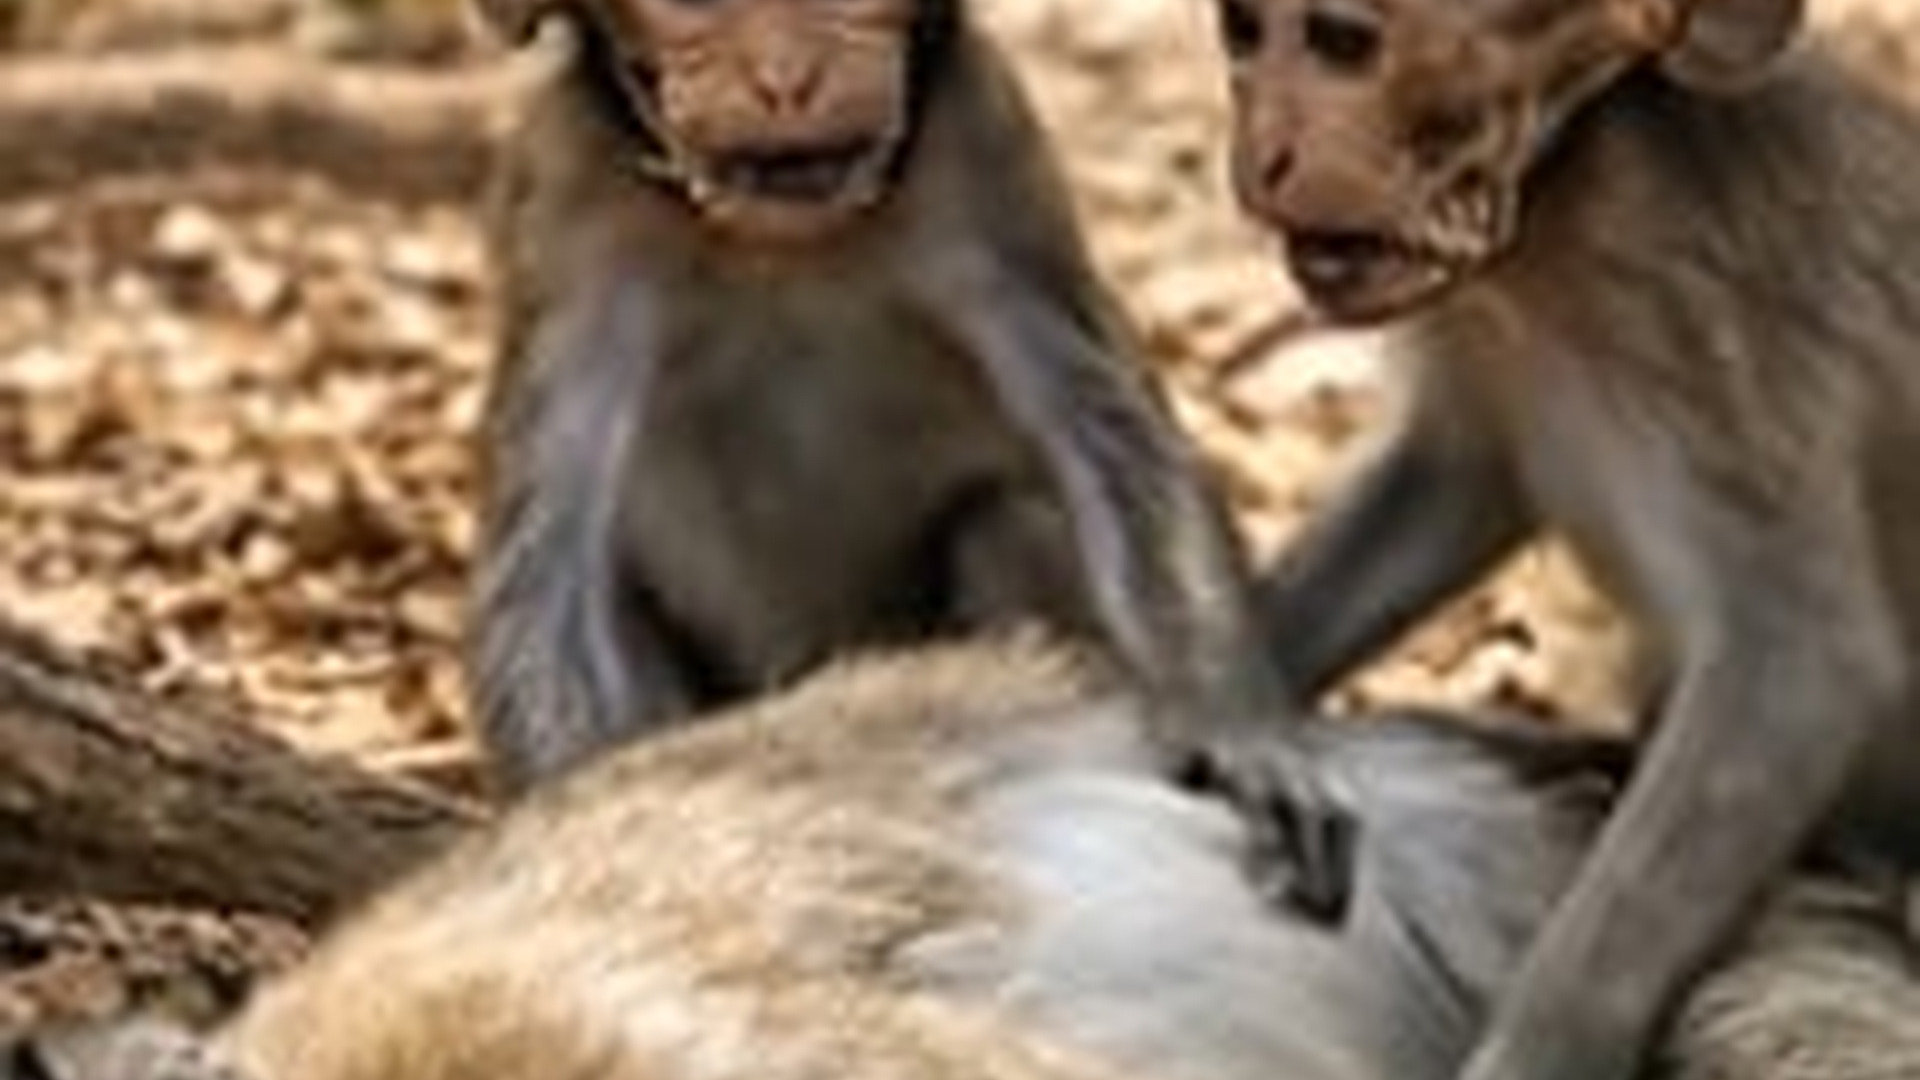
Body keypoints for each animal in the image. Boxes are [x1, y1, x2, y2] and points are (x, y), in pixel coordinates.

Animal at [461, 0, 1349, 900]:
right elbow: (545, 571)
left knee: (1010, 522)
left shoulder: (989, 156)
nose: (787, 81)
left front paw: (1242, 738)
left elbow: (1119, 444)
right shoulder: (561, 208)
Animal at [1207, 0, 1920, 1077]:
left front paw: (1537, 1047)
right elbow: (1453, 481)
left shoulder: (1696, 310)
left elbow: (1805, 668)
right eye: (1245, 35)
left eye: (1343, 42)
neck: (1548, 226)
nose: (1260, 157)